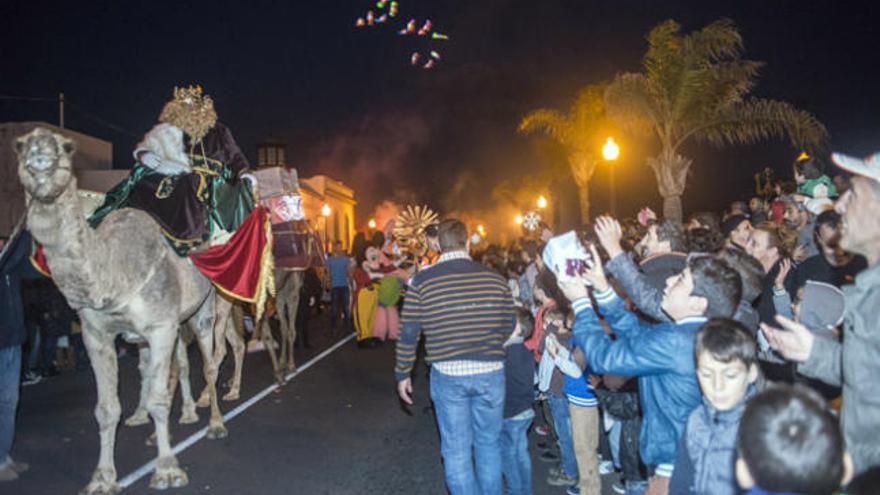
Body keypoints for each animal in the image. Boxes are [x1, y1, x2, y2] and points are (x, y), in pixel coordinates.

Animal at [15, 129, 227, 495]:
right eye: (19, 145)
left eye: (66, 147)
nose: (39, 158)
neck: (114, 270)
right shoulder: (96, 334)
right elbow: (106, 408)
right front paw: (102, 478)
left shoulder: (159, 327)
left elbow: (158, 399)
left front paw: (168, 470)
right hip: (175, 322)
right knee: (176, 366)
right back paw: (179, 419)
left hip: (204, 308)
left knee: (209, 364)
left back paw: (214, 424)